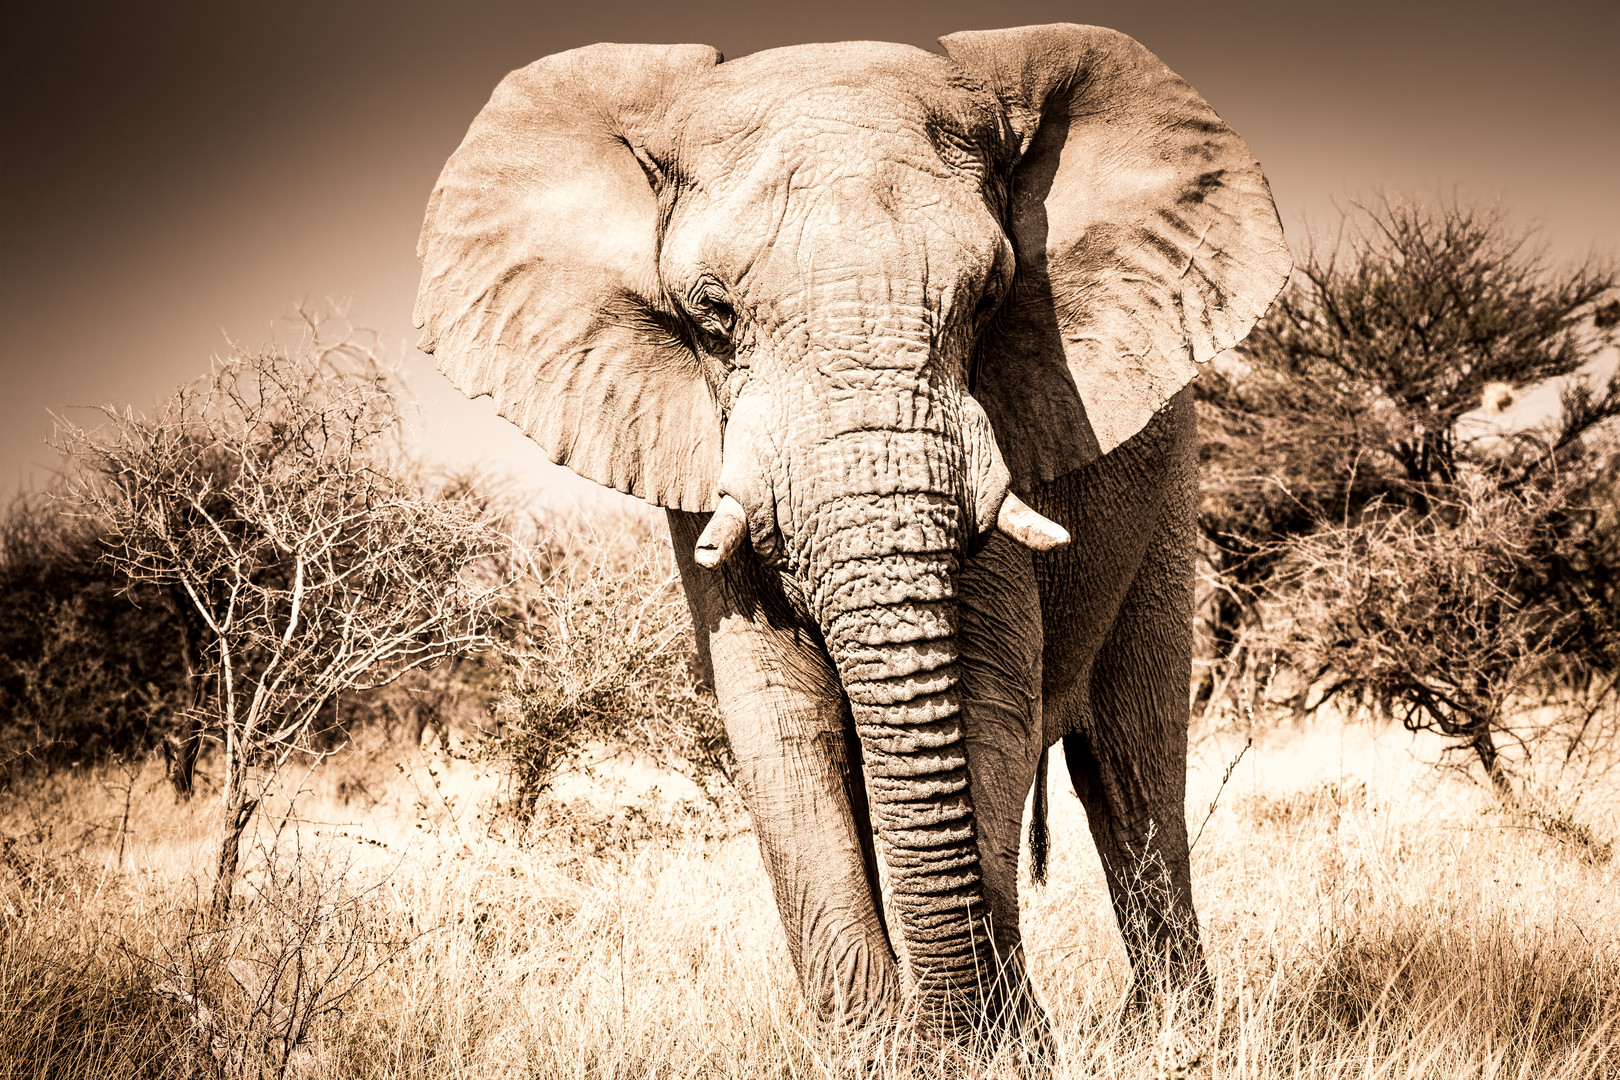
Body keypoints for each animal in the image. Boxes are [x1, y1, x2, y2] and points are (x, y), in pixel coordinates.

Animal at [414, 19, 1289, 1049]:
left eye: (991, 299)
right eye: (711, 315)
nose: (950, 1028)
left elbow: (984, 698)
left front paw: (989, 1044)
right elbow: (779, 721)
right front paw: (873, 1045)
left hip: (1168, 487)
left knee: (1131, 766)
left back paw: (1172, 1034)